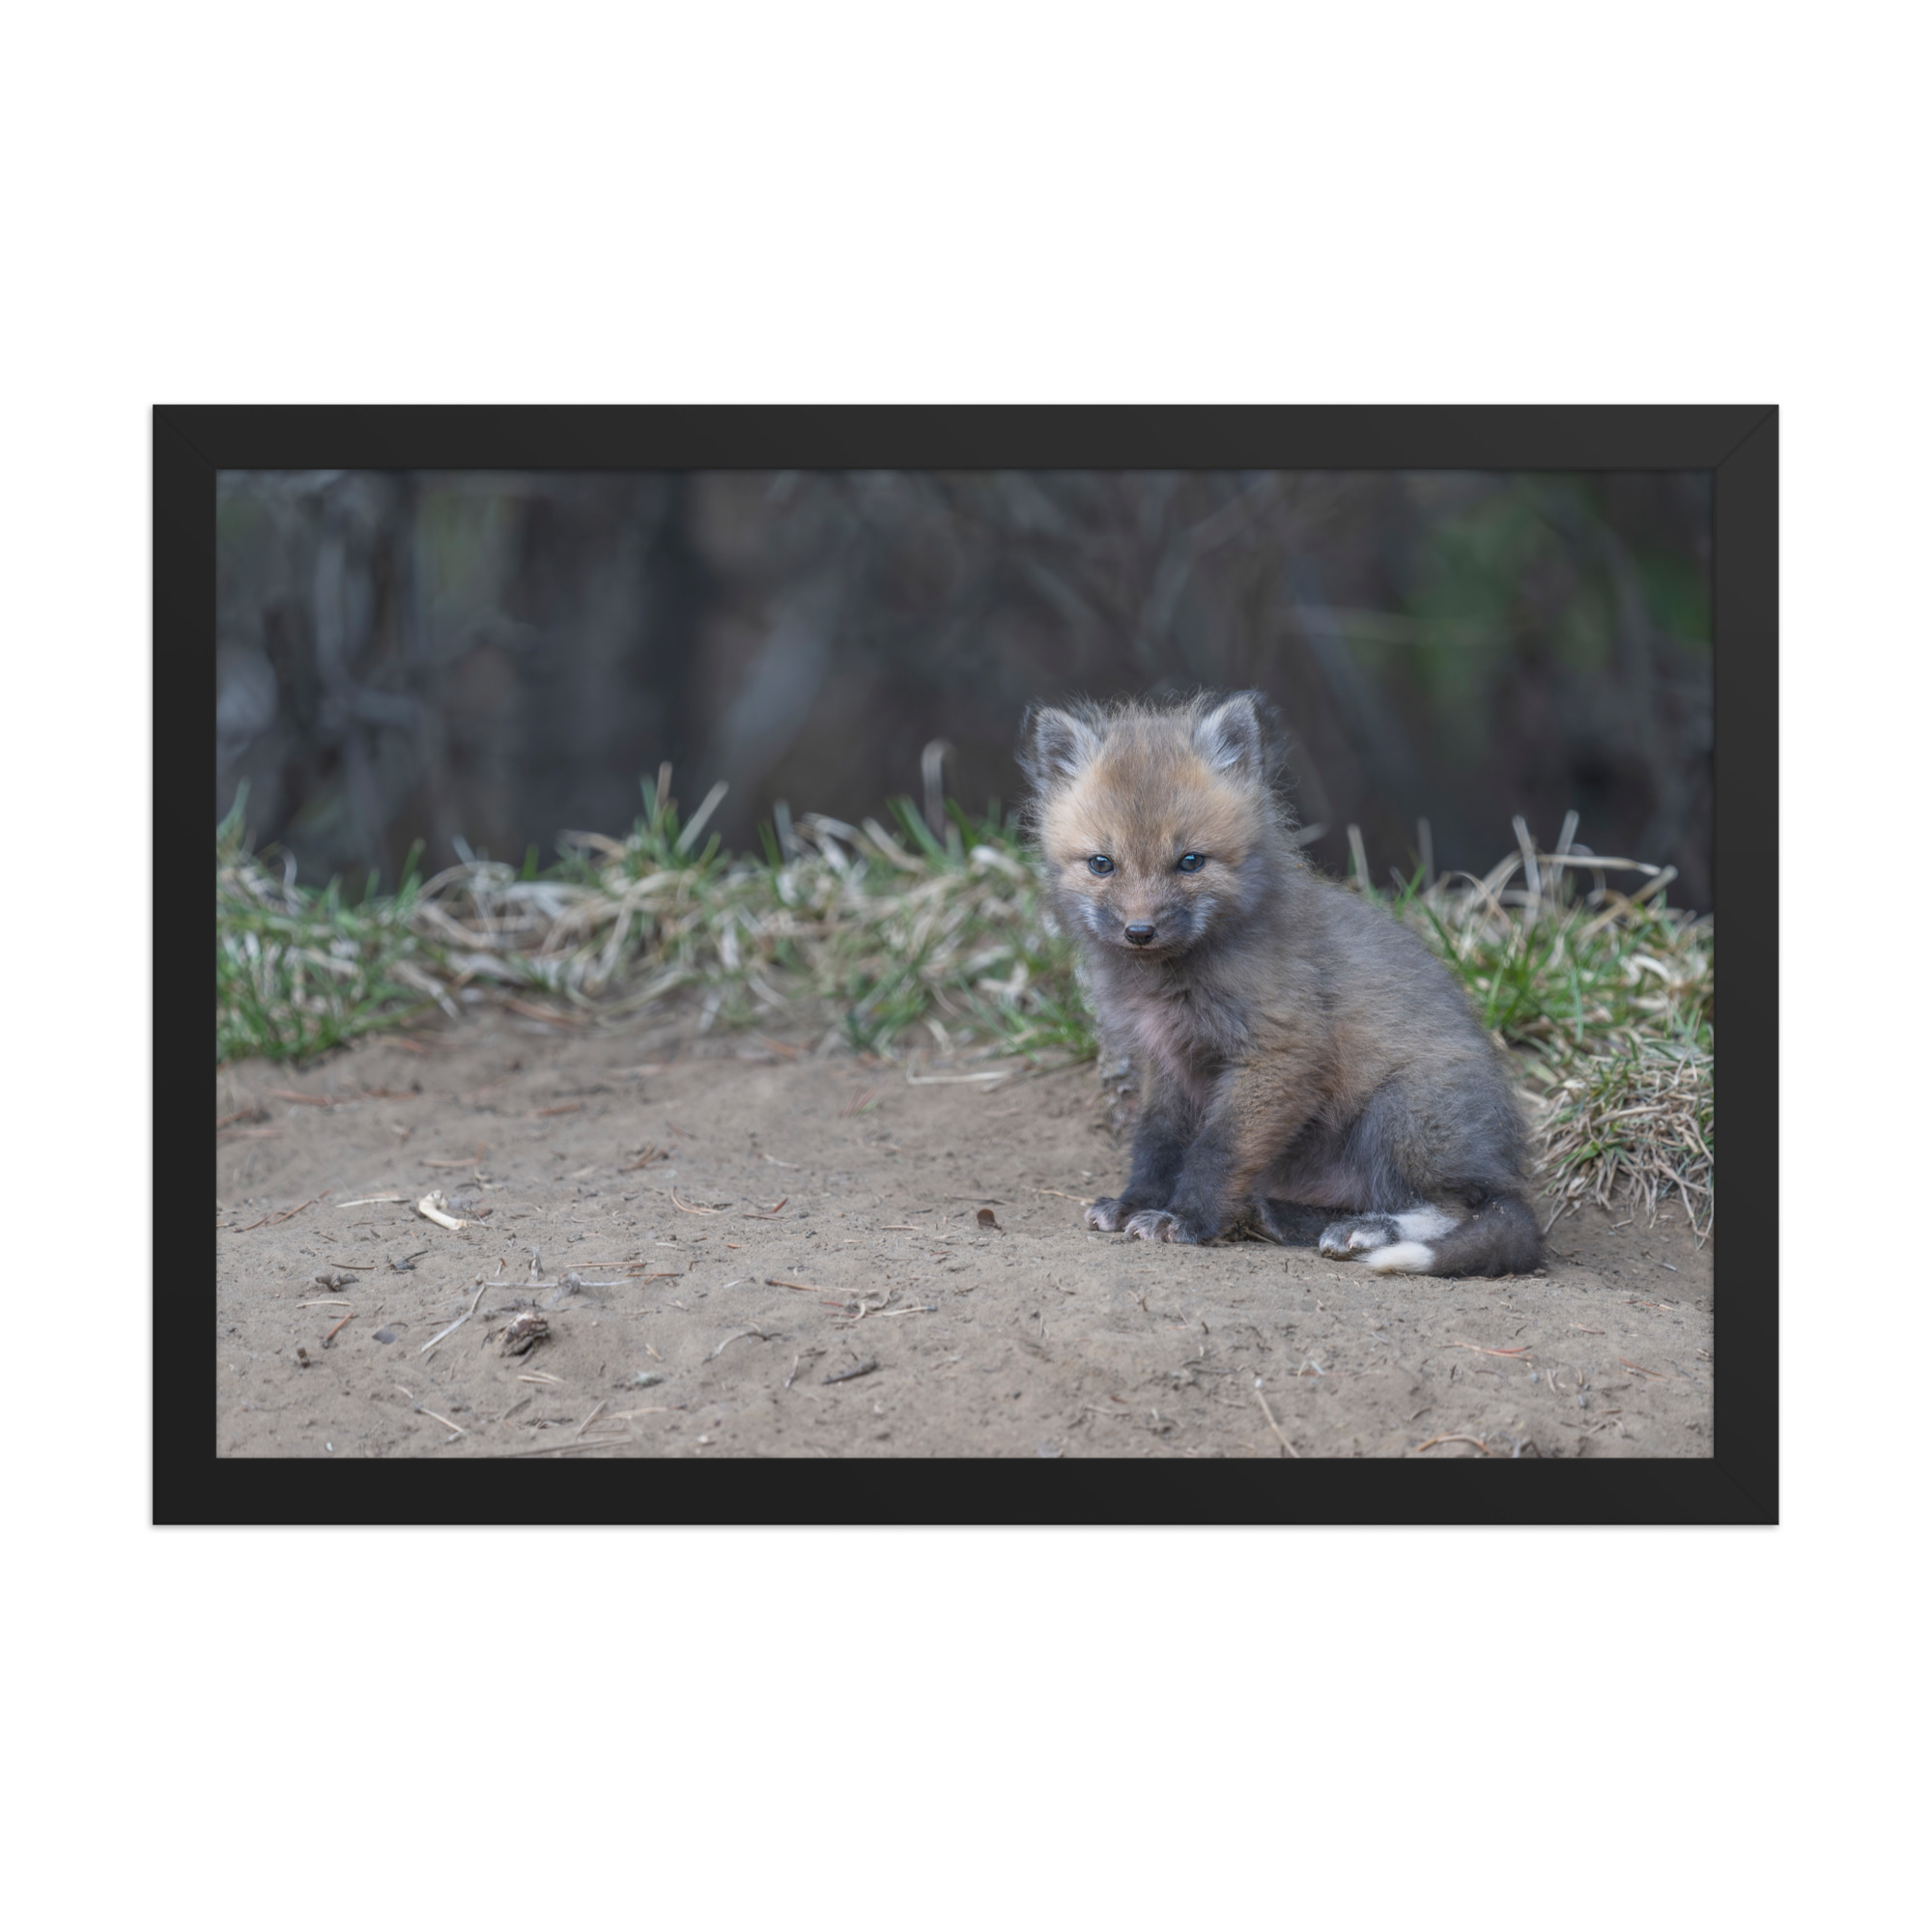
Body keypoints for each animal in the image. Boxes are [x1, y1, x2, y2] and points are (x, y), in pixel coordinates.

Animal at [1019, 690, 1542, 1278]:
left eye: (1190, 862)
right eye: (1102, 864)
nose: (1140, 931)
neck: (1170, 981)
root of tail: (1507, 1167)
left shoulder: (1279, 1052)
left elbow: (1217, 1150)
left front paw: (1187, 1220)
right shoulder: (1168, 1063)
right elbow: (1157, 1143)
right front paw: (1136, 1203)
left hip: (1401, 1113)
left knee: (1460, 1207)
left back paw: (1367, 1231)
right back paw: (1286, 1217)